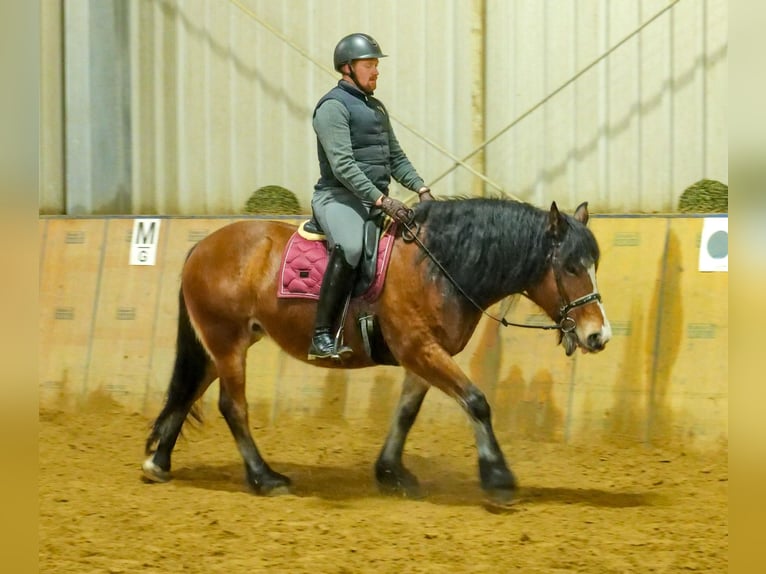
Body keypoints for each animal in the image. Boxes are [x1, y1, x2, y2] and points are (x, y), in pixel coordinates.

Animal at [142, 197, 612, 504]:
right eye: (571, 266)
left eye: (593, 265)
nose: (598, 336)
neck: (438, 266)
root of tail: (203, 247)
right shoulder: (420, 348)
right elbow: (477, 402)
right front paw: (498, 477)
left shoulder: (423, 353)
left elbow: (406, 413)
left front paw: (391, 473)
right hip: (228, 342)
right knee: (232, 406)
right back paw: (264, 478)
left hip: (218, 345)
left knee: (188, 391)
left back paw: (158, 463)